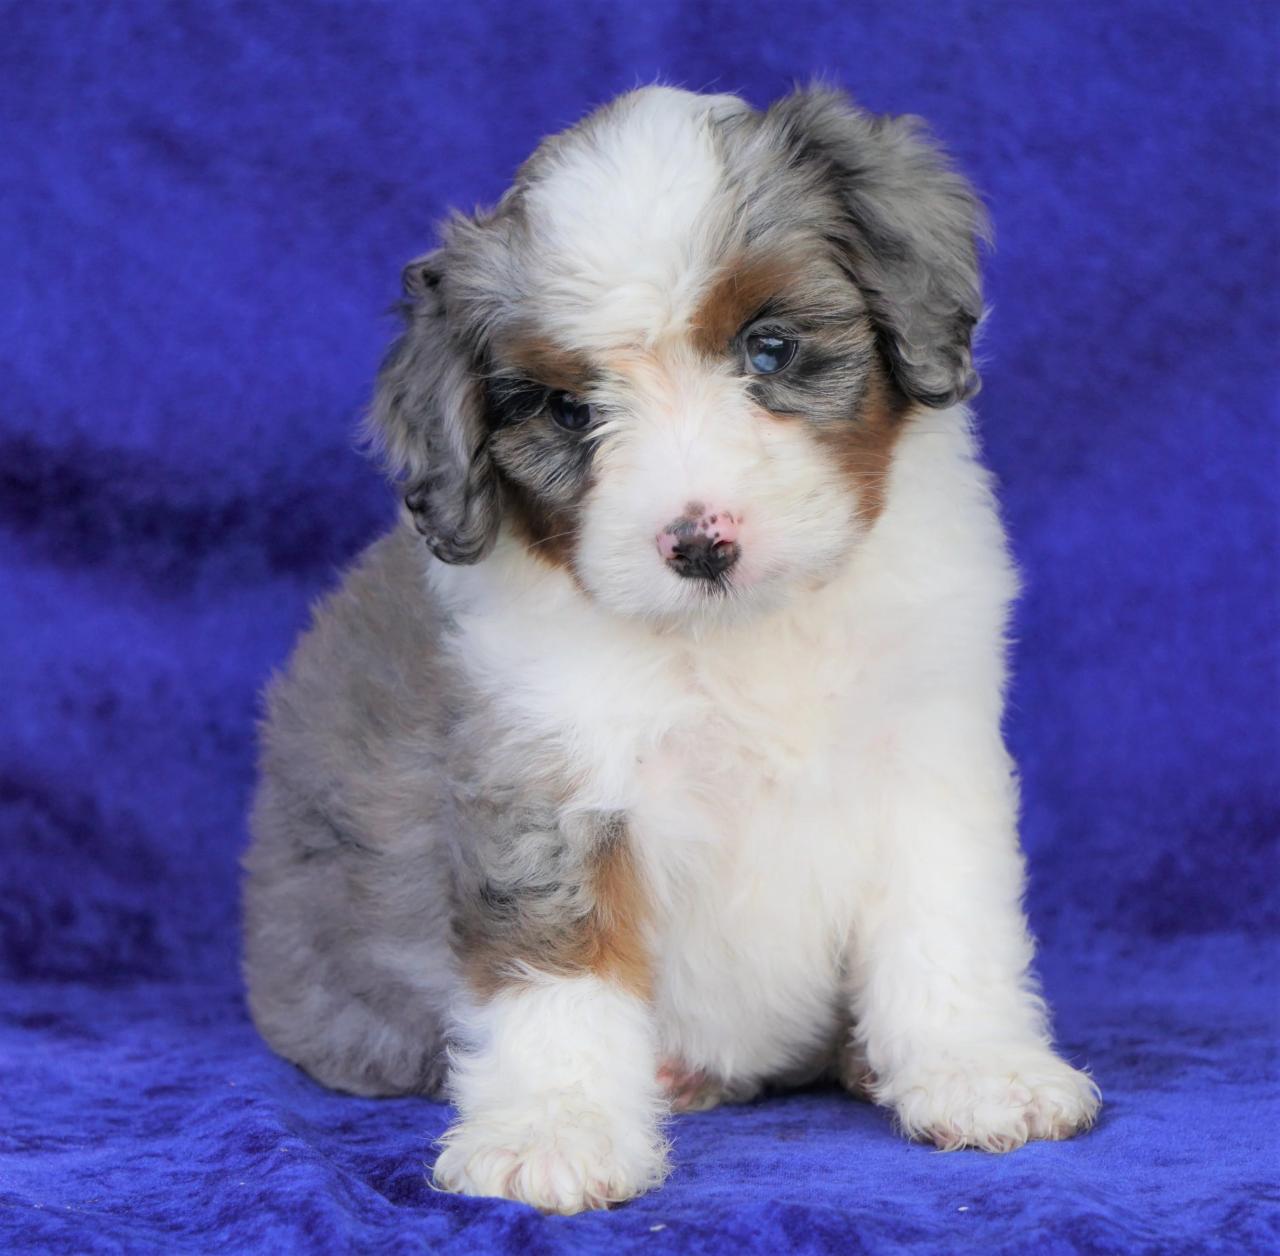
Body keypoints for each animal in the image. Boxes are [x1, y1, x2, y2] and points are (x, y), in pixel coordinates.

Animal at [241, 85, 1100, 1213]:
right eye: (570, 410)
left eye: (768, 349)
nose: (698, 542)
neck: (740, 638)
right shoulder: (545, 778)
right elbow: (558, 967)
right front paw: (554, 1128)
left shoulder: (925, 750)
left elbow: (944, 919)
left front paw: (976, 1069)